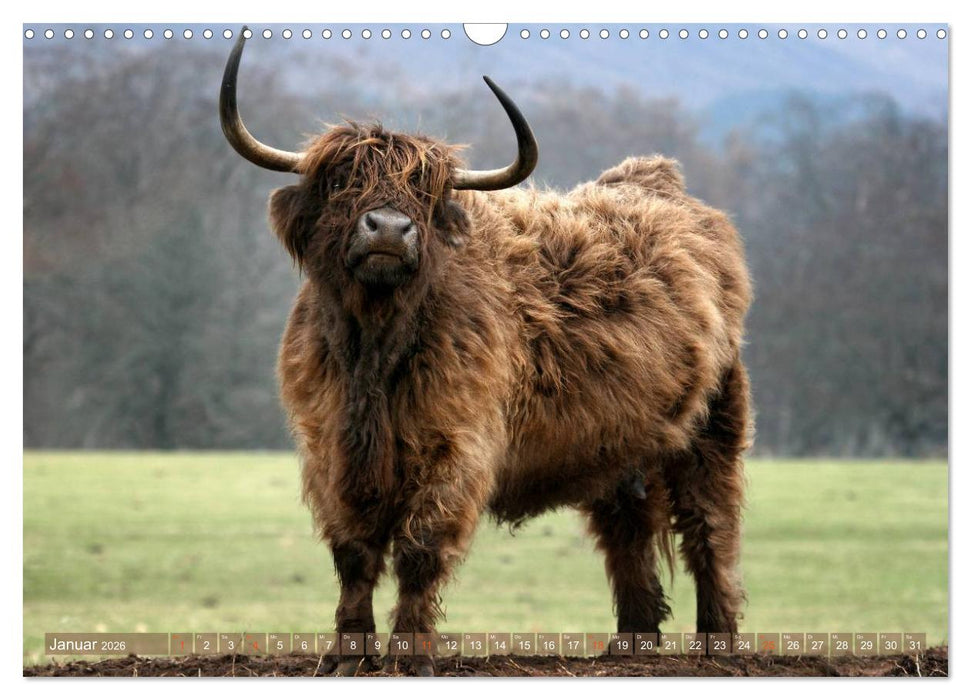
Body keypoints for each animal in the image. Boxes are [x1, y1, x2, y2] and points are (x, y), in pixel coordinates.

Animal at [219, 29, 752, 675]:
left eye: (425, 193)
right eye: (341, 181)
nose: (389, 229)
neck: (374, 350)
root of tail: (665, 188)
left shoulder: (458, 447)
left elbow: (420, 550)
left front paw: (412, 656)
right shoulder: (330, 451)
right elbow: (353, 553)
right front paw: (347, 656)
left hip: (713, 426)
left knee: (710, 529)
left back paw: (718, 648)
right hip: (618, 444)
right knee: (628, 531)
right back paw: (629, 645)